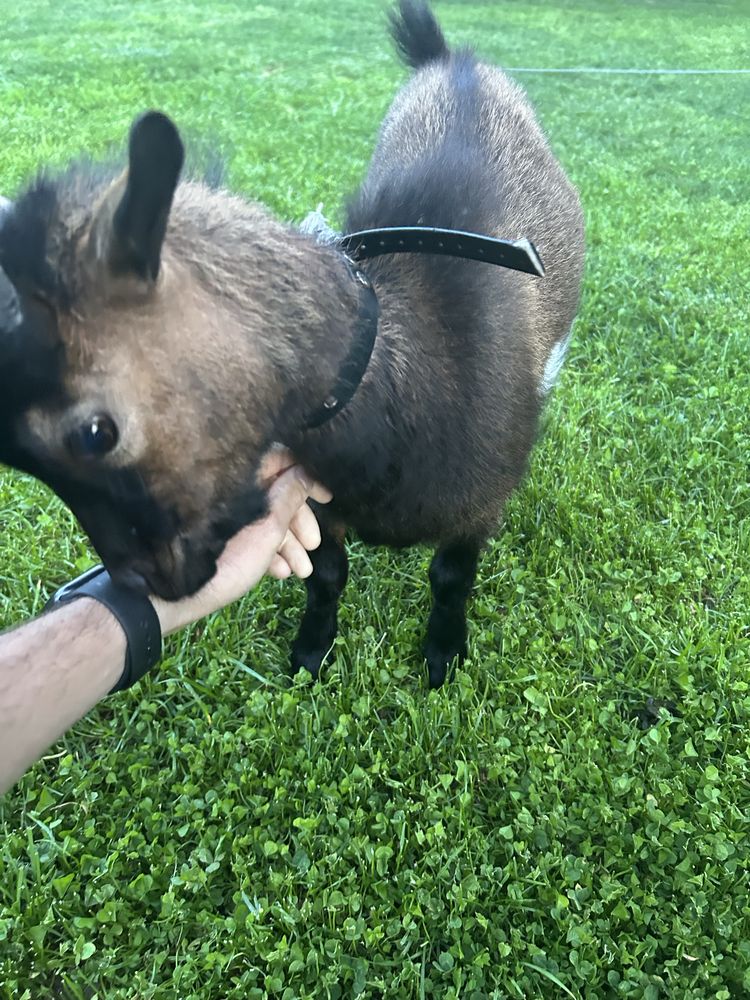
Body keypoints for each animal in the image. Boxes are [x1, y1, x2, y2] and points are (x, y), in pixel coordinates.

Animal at [0, 1, 588, 688]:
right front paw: (312, 651)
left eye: (95, 433)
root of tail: (453, 61)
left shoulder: (480, 505)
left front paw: (443, 655)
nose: (145, 584)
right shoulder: (318, 501)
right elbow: (326, 573)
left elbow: (449, 578)